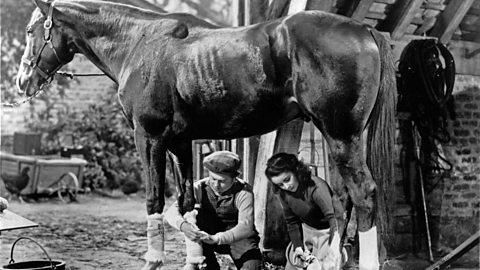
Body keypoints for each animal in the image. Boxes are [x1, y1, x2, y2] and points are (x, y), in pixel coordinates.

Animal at [15, 1, 398, 268]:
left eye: (32, 31)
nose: (22, 81)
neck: (139, 43)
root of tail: (364, 31)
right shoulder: (180, 142)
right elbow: (186, 203)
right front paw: (195, 258)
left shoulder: (149, 137)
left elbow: (154, 199)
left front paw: (153, 260)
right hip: (345, 138)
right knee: (344, 197)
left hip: (340, 135)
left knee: (363, 194)